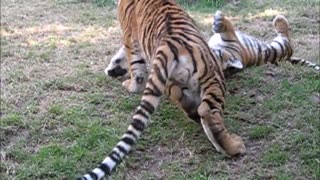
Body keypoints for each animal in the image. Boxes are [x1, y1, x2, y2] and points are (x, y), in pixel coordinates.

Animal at [77, 0, 245, 179]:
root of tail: (171, 44)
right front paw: (115, 69)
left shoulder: (130, 37)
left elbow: (132, 64)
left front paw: (124, 79)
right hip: (208, 78)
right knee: (205, 110)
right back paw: (232, 145)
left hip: (203, 78)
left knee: (202, 109)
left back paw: (233, 146)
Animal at [105, 11, 320, 78]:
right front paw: (116, 66)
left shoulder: (232, 38)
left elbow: (227, 25)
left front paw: (218, 20)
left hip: (279, 47)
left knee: (286, 37)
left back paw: (279, 19)